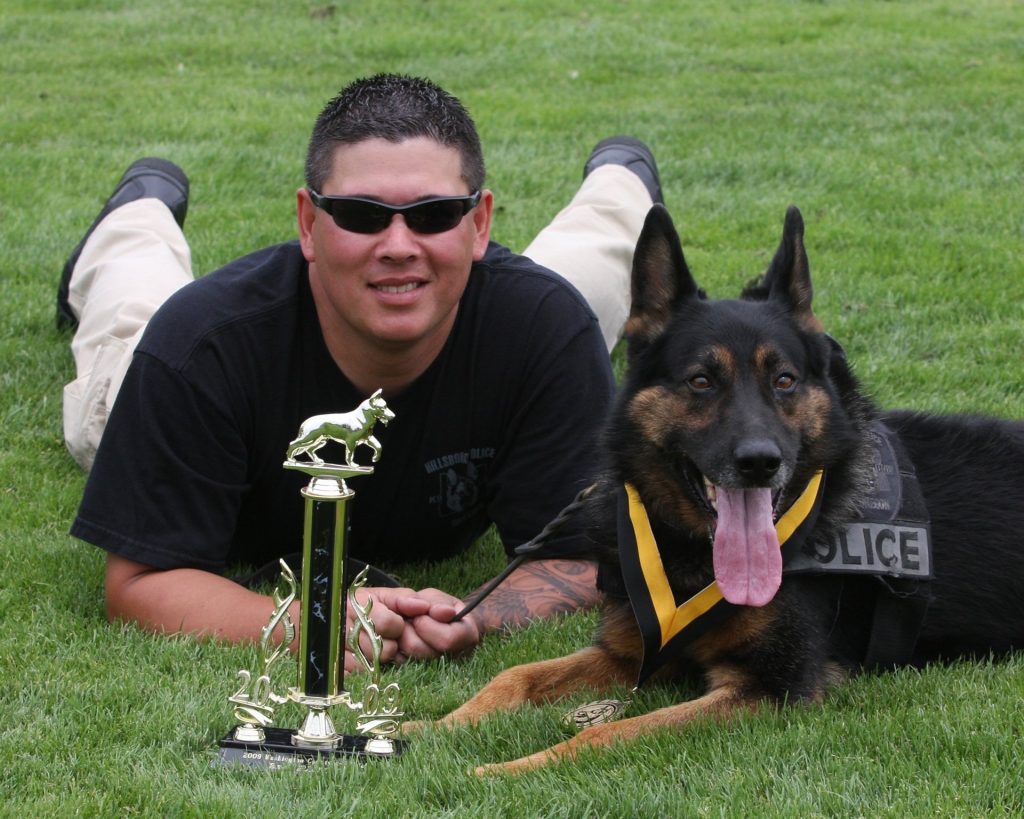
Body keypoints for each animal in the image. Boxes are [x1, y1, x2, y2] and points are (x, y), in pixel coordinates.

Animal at [421, 202, 1024, 773]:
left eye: (784, 380)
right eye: (701, 381)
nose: (760, 463)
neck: (697, 557)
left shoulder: (770, 689)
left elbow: (608, 731)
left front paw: (508, 766)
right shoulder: (629, 652)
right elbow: (513, 675)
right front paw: (427, 729)